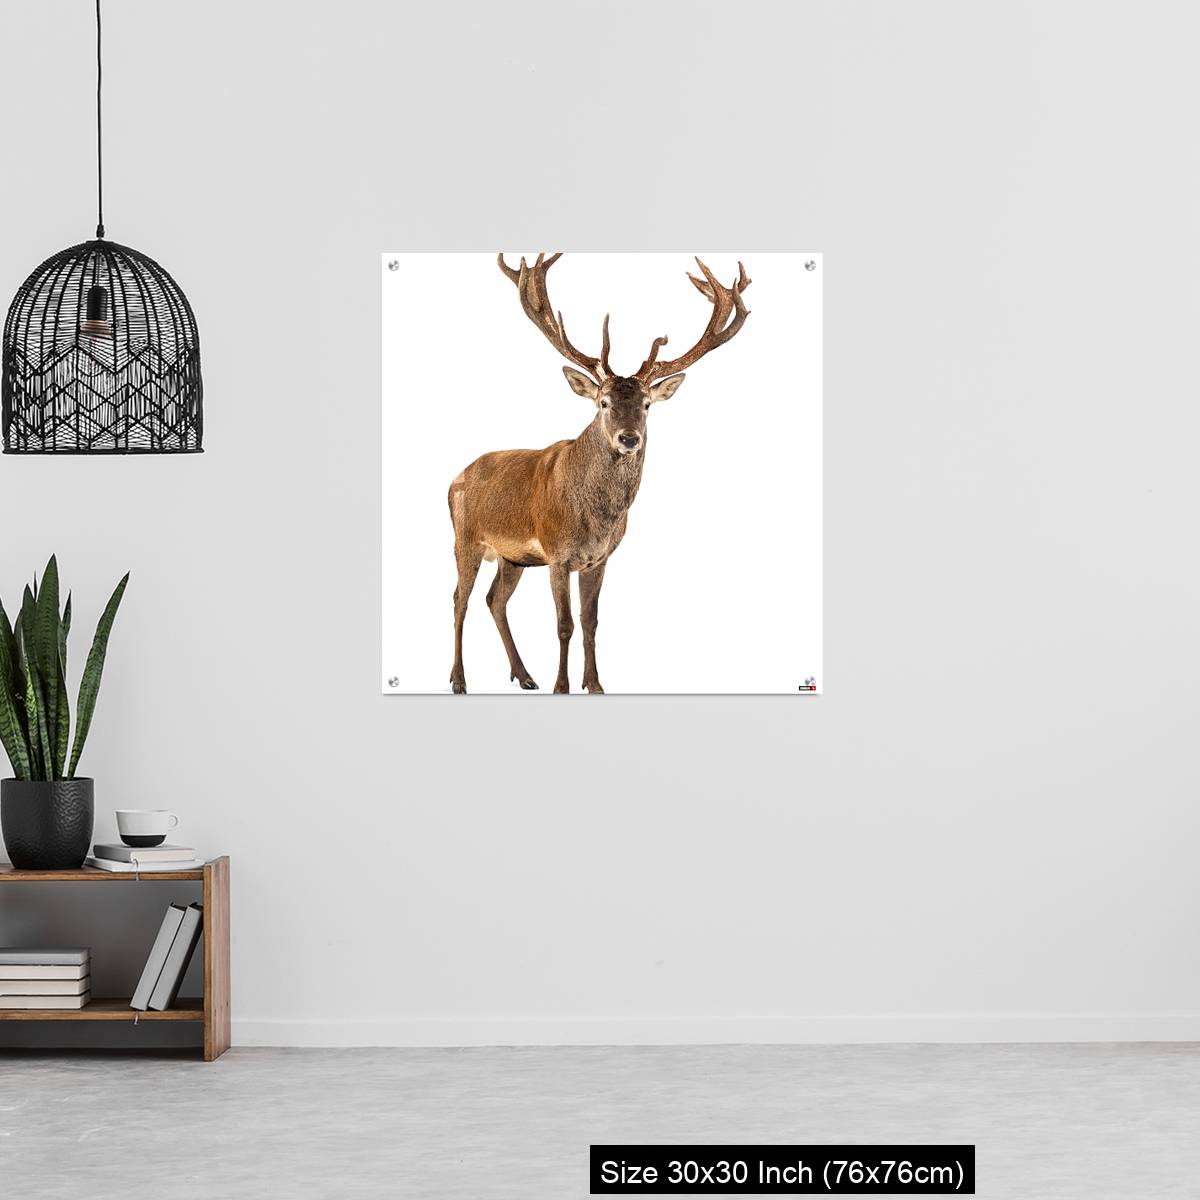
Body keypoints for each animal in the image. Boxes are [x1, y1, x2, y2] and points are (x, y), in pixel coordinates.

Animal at [447, 252, 752, 694]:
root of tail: (454, 478)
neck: (595, 520)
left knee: (494, 600)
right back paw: (459, 679)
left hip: (512, 557)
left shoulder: (599, 559)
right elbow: (564, 624)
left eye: (646, 405)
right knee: (460, 599)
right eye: (603, 402)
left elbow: (590, 622)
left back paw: (524, 675)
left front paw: (594, 684)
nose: (629, 438)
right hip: (465, 539)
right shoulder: (557, 553)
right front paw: (561, 686)